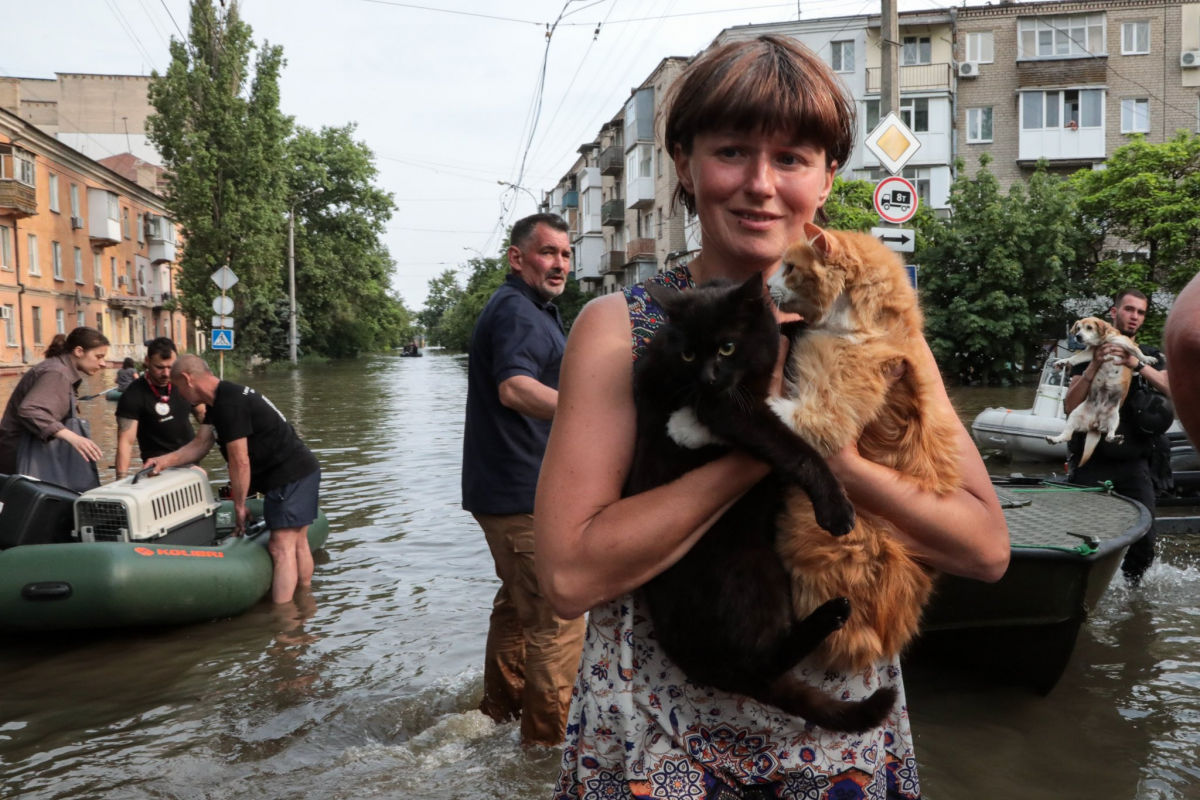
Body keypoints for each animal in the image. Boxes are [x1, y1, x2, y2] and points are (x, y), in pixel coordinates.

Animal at [633, 278, 897, 734]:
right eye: (688, 355)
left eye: (726, 347)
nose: (707, 378)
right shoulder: (731, 411)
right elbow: (798, 450)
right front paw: (835, 508)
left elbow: (791, 335)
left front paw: (808, 329)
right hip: (755, 572)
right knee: (761, 663)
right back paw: (831, 614)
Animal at [1046, 311, 1156, 462]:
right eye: (1078, 328)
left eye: (1089, 328)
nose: (1078, 336)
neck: (1102, 342)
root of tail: (1095, 424)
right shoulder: (1090, 352)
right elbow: (1074, 358)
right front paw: (1063, 361)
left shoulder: (1125, 345)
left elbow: (1137, 352)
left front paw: (1147, 359)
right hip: (1074, 415)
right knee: (1068, 435)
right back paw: (1053, 439)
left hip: (1114, 418)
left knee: (1109, 436)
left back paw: (1116, 438)